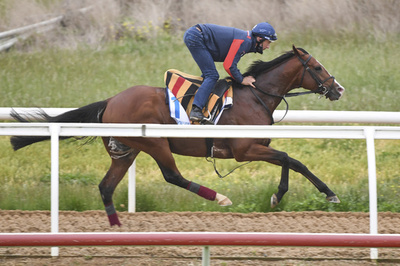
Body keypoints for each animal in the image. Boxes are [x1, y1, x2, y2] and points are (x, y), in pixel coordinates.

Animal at [10, 45, 346, 227]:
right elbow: (289, 159)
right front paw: (279, 195)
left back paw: (117, 228)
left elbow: (296, 162)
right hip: (154, 142)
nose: (339, 89)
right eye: (317, 67)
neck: (255, 97)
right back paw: (219, 197)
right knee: (172, 175)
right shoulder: (245, 149)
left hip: (126, 151)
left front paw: (328, 193)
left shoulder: (255, 148)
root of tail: (110, 101)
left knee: (106, 187)